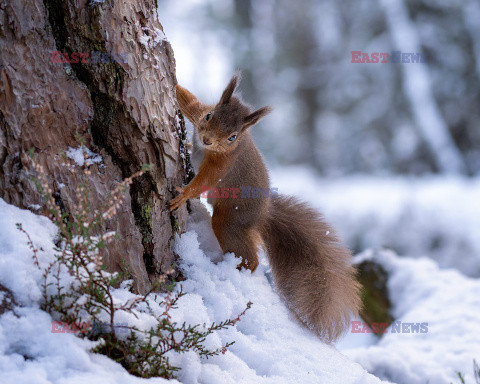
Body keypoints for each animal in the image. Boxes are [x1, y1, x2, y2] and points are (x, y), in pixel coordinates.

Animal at [171, 74, 362, 342]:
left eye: (232, 137)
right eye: (210, 116)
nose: (206, 140)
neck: (211, 148)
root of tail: (262, 215)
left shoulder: (223, 164)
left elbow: (204, 181)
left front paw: (185, 194)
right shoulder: (198, 112)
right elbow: (188, 101)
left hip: (230, 221)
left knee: (249, 257)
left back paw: (233, 270)